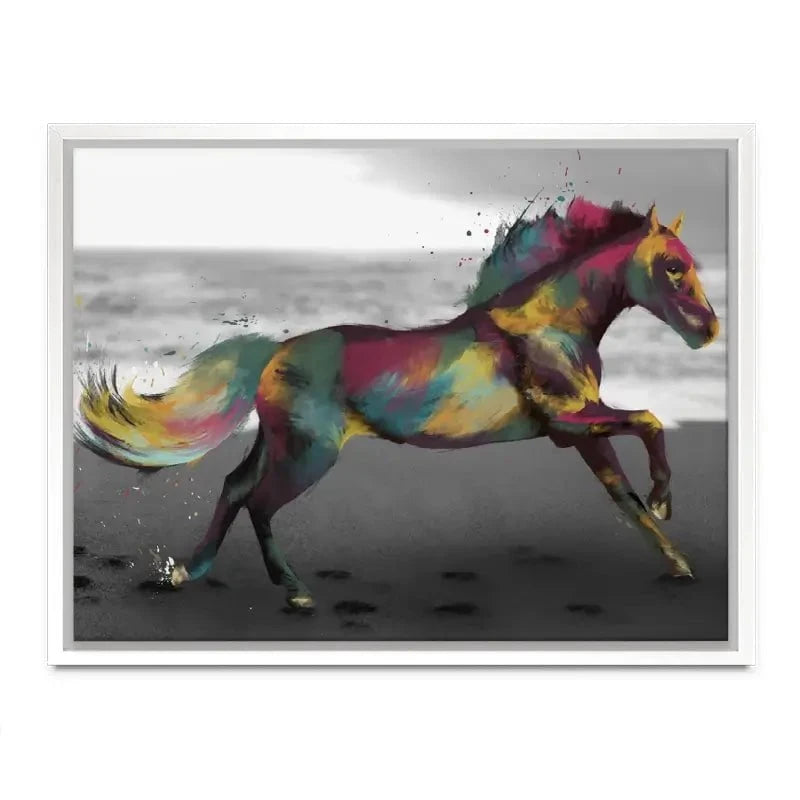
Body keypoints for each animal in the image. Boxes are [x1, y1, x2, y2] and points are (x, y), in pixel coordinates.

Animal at [76, 198, 719, 610]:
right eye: (672, 267)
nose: (708, 331)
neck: (547, 325)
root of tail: (275, 351)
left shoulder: (575, 433)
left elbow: (624, 496)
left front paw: (678, 562)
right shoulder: (570, 420)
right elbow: (650, 422)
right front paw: (666, 501)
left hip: (281, 443)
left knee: (235, 488)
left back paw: (188, 572)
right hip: (310, 455)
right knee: (258, 503)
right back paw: (296, 591)